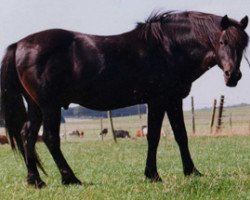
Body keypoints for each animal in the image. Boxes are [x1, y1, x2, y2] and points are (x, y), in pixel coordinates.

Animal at [0, 10, 248, 189]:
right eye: (223, 42)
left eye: (243, 44)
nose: (233, 76)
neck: (169, 47)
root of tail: (19, 44)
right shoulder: (158, 100)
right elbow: (154, 136)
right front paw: (153, 174)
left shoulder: (173, 100)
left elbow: (181, 135)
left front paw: (192, 172)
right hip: (49, 106)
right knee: (50, 138)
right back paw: (71, 179)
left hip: (36, 106)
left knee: (27, 135)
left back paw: (36, 181)